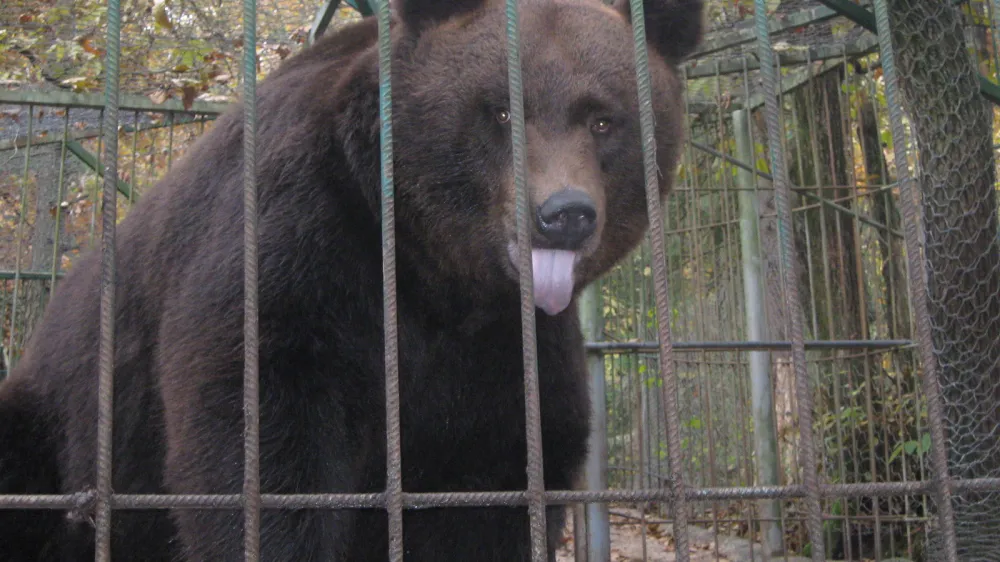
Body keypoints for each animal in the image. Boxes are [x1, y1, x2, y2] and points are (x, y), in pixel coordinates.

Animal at [0, 0, 704, 556]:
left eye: (604, 119)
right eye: (503, 112)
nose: (564, 214)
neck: (436, 279)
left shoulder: (507, 356)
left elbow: (496, 489)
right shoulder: (299, 250)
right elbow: (262, 454)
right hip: (64, 429)